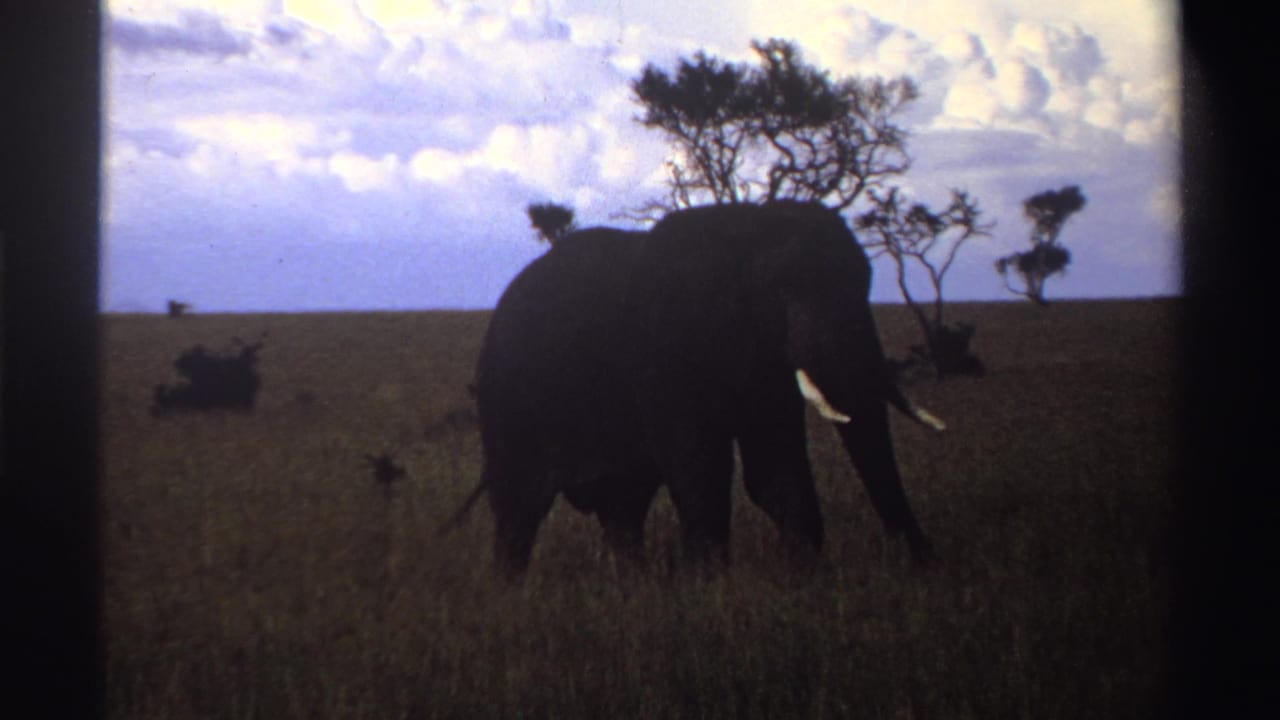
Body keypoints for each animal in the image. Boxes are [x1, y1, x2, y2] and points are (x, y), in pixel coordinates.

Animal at [469, 201, 944, 576]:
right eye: (785, 290)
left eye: (865, 284)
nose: (923, 562)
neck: (745, 228)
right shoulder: (667, 351)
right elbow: (700, 466)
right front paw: (710, 588)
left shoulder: (766, 365)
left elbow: (774, 470)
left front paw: (804, 578)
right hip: (507, 397)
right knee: (520, 506)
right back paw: (511, 595)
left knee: (623, 505)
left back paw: (633, 589)